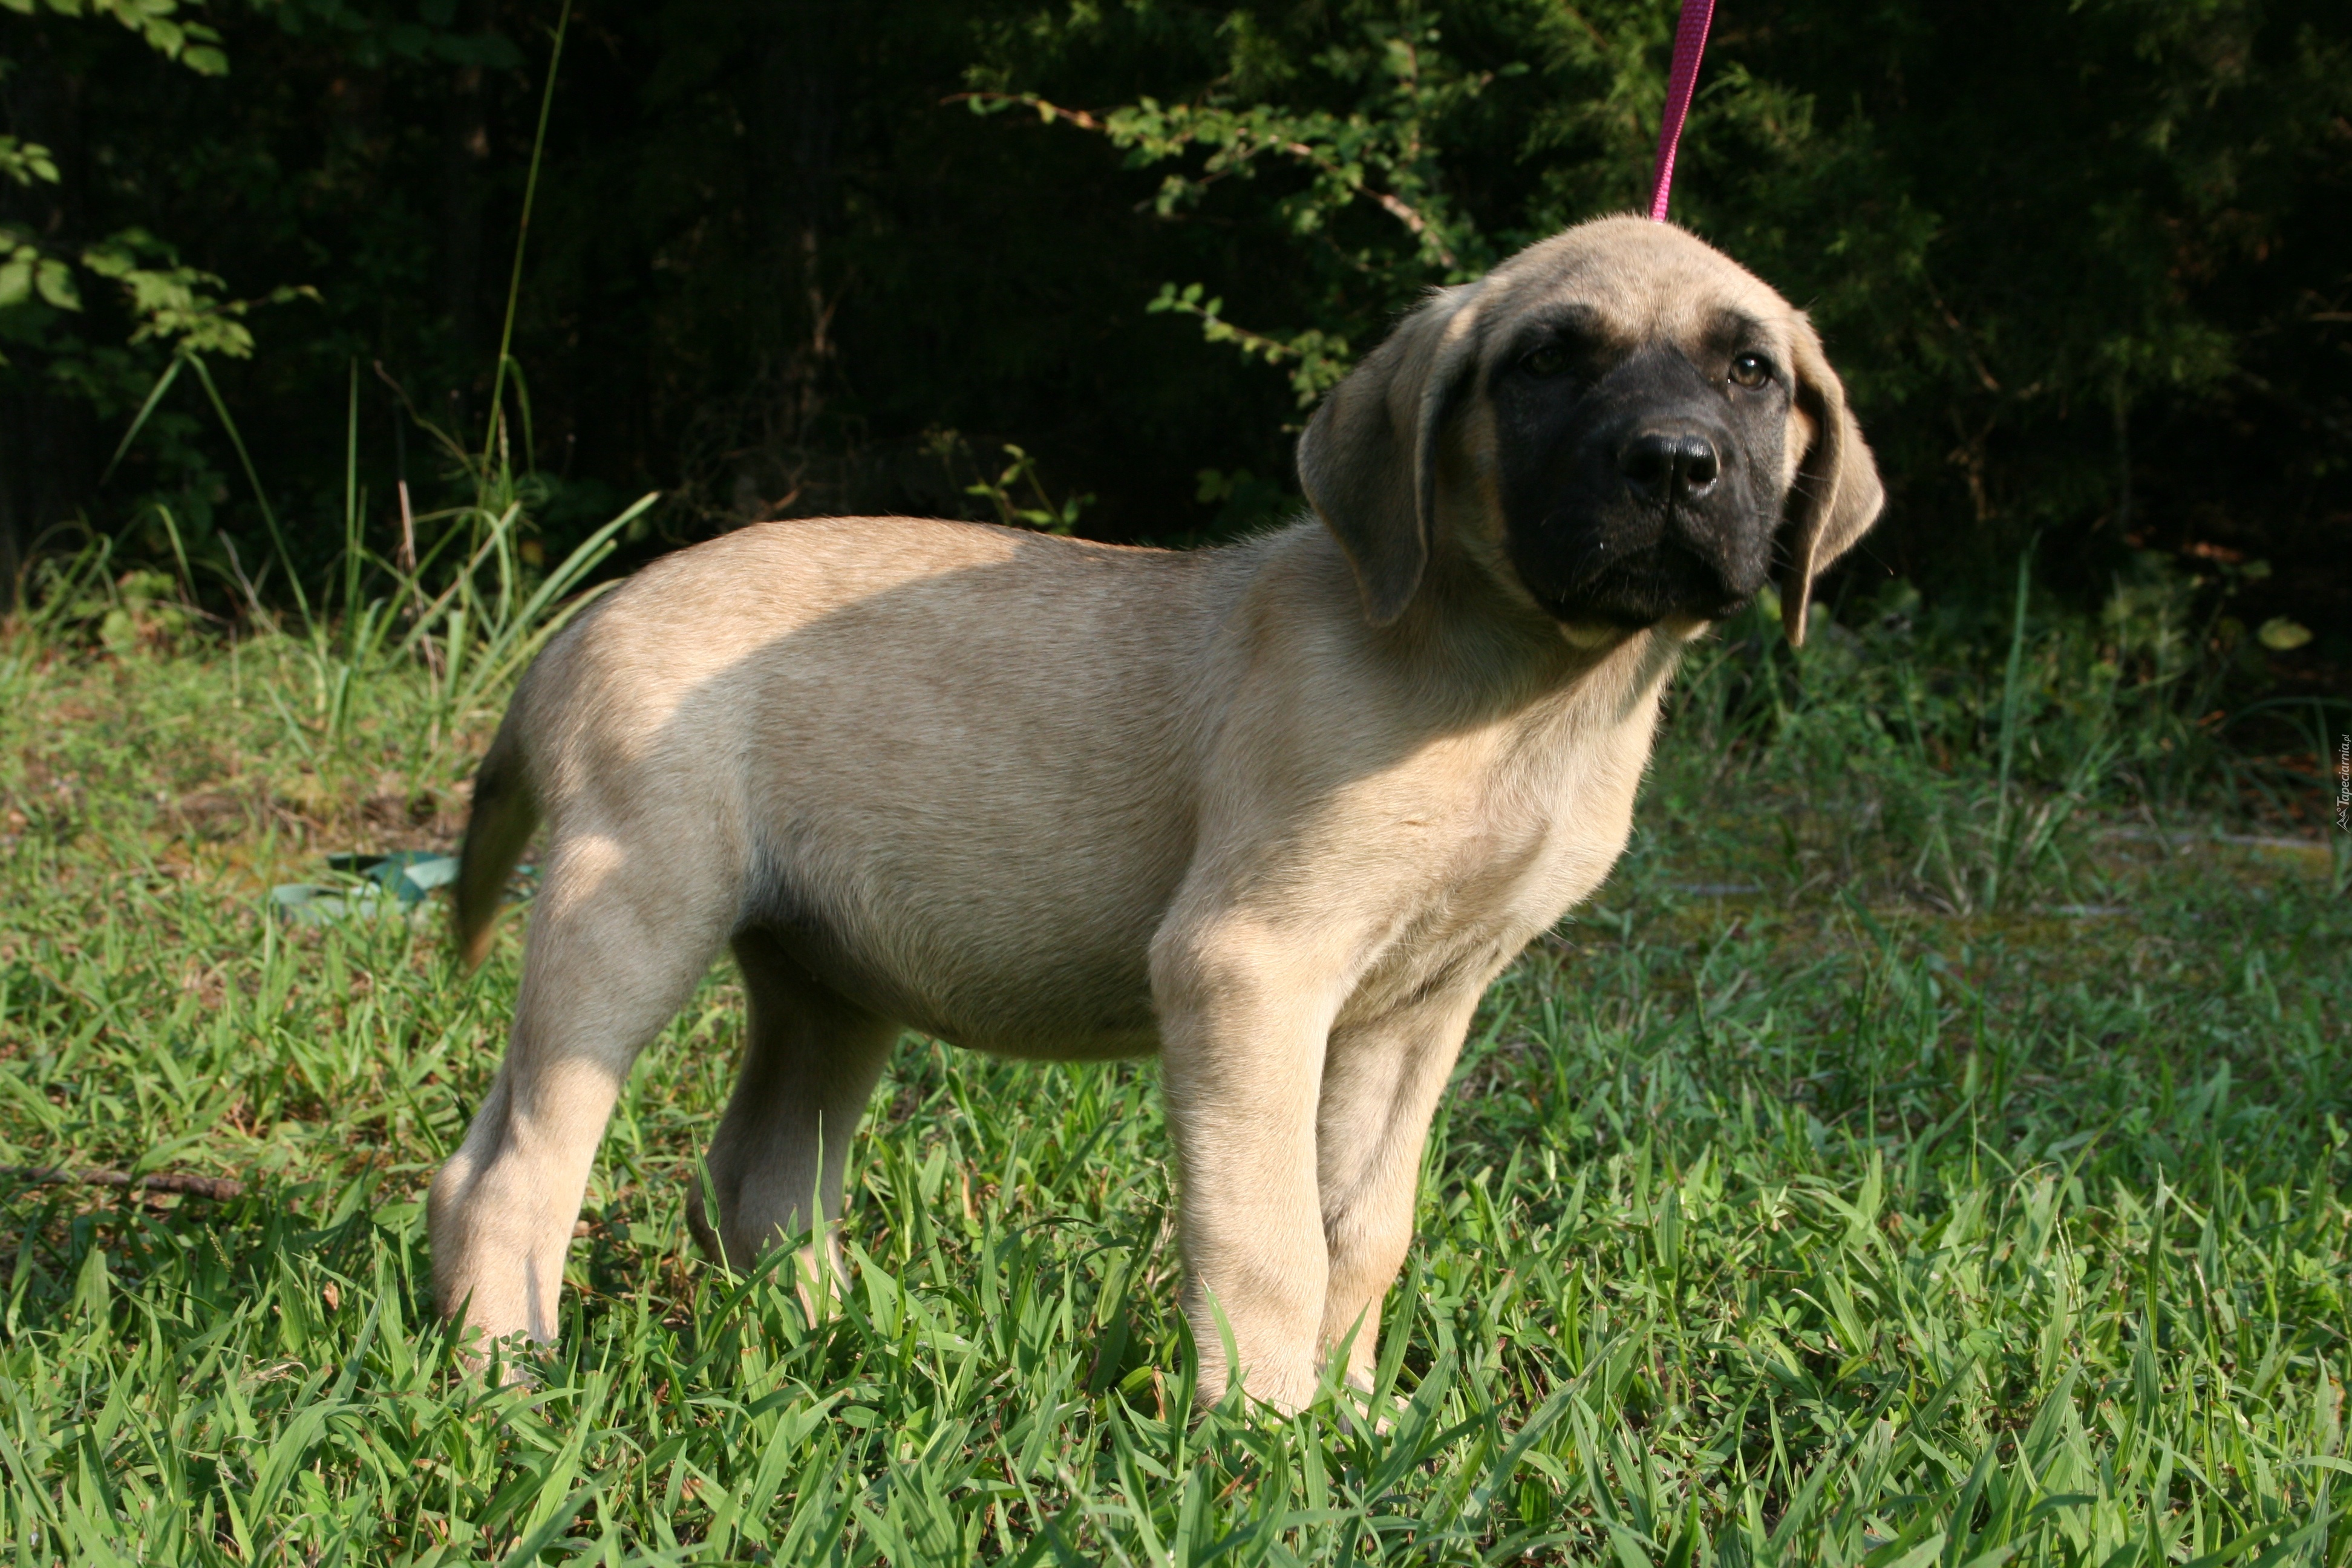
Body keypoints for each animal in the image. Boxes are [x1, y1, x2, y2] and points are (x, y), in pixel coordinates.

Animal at [433, 211, 1881, 1410]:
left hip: (827, 978)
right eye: (1544, 362)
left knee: (753, 1180)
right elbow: (1268, 1233)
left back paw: (833, 1345)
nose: (1674, 466)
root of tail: (576, 631)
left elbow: (1364, 1228)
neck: (1518, 691)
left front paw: (1353, 1418)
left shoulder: (1420, 1006)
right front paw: (1263, 1431)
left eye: (1751, 373)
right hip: (631, 912)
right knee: (516, 1169)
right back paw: (509, 1379)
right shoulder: (1249, 969)